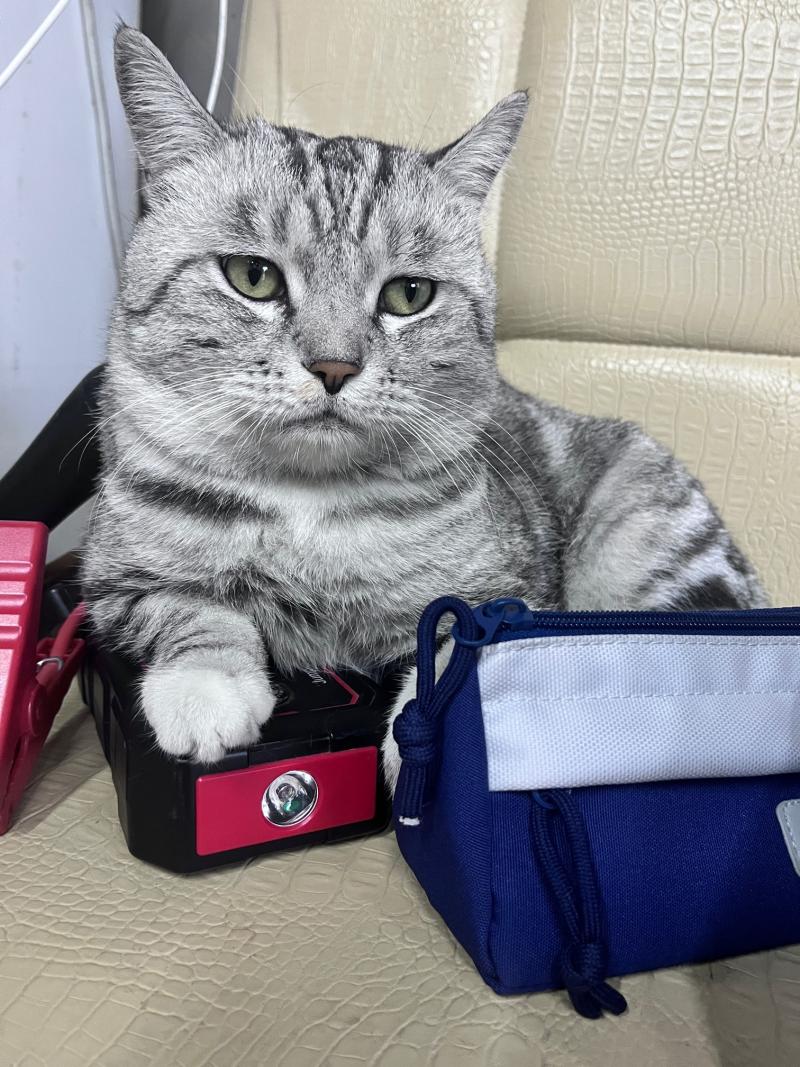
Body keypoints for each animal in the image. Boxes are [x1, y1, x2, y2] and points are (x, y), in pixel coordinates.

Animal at [82, 27, 766, 780]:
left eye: (409, 294)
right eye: (252, 276)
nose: (334, 365)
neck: (308, 504)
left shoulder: (512, 589)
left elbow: (457, 640)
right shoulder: (113, 579)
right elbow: (190, 606)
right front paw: (205, 688)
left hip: (650, 548)